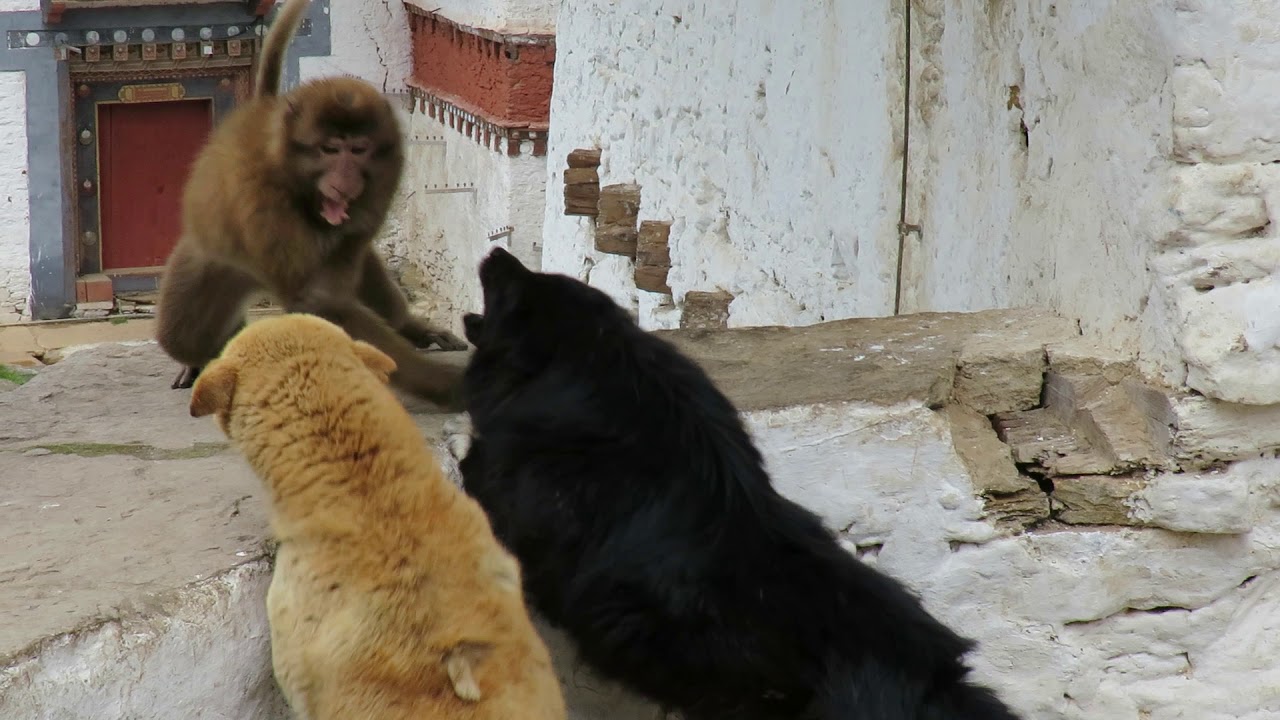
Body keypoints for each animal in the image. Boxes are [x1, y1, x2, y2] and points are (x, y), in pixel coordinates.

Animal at [153, 0, 467, 407]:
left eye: (358, 149)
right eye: (330, 149)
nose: (345, 179)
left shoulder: (381, 185)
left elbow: (339, 278)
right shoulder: (264, 205)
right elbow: (320, 301)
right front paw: (445, 384)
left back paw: (407, 326)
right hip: (212, 258)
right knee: (183, 336)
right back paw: (205, 358)